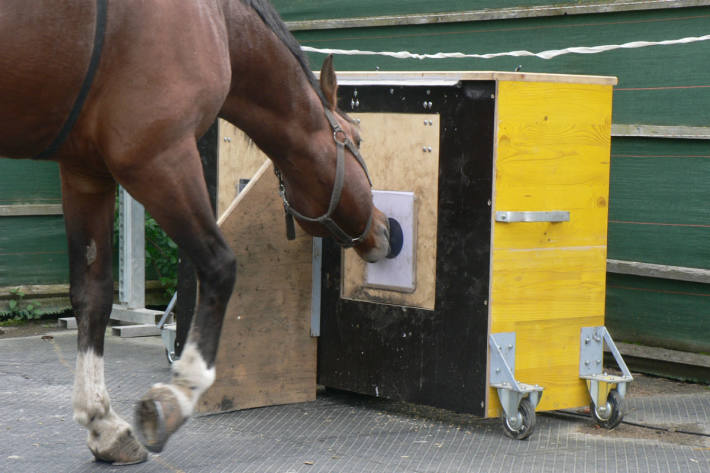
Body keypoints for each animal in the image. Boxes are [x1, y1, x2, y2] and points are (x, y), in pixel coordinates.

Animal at [0, 0, 394, 464]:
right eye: (358, 139)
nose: (384, 229)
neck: (215, 22)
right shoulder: (158, 156)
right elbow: (219, 266)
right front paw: (178, 393)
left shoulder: (86, 170)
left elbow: (92, 295)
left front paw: (103, 424)